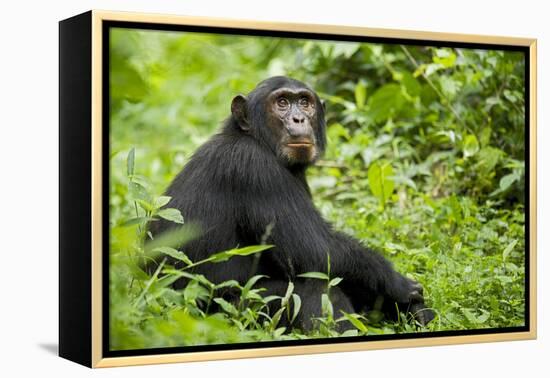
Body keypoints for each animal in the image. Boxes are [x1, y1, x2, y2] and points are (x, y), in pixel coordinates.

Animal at [151, 76, 436, 328]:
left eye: (304, 102)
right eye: (282, 103)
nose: (299, 118)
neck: (257, 141)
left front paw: (414, 310)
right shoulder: (257, 170)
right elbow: (316, 250)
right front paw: (400, 286)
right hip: (227, 314)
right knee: (315, 287)